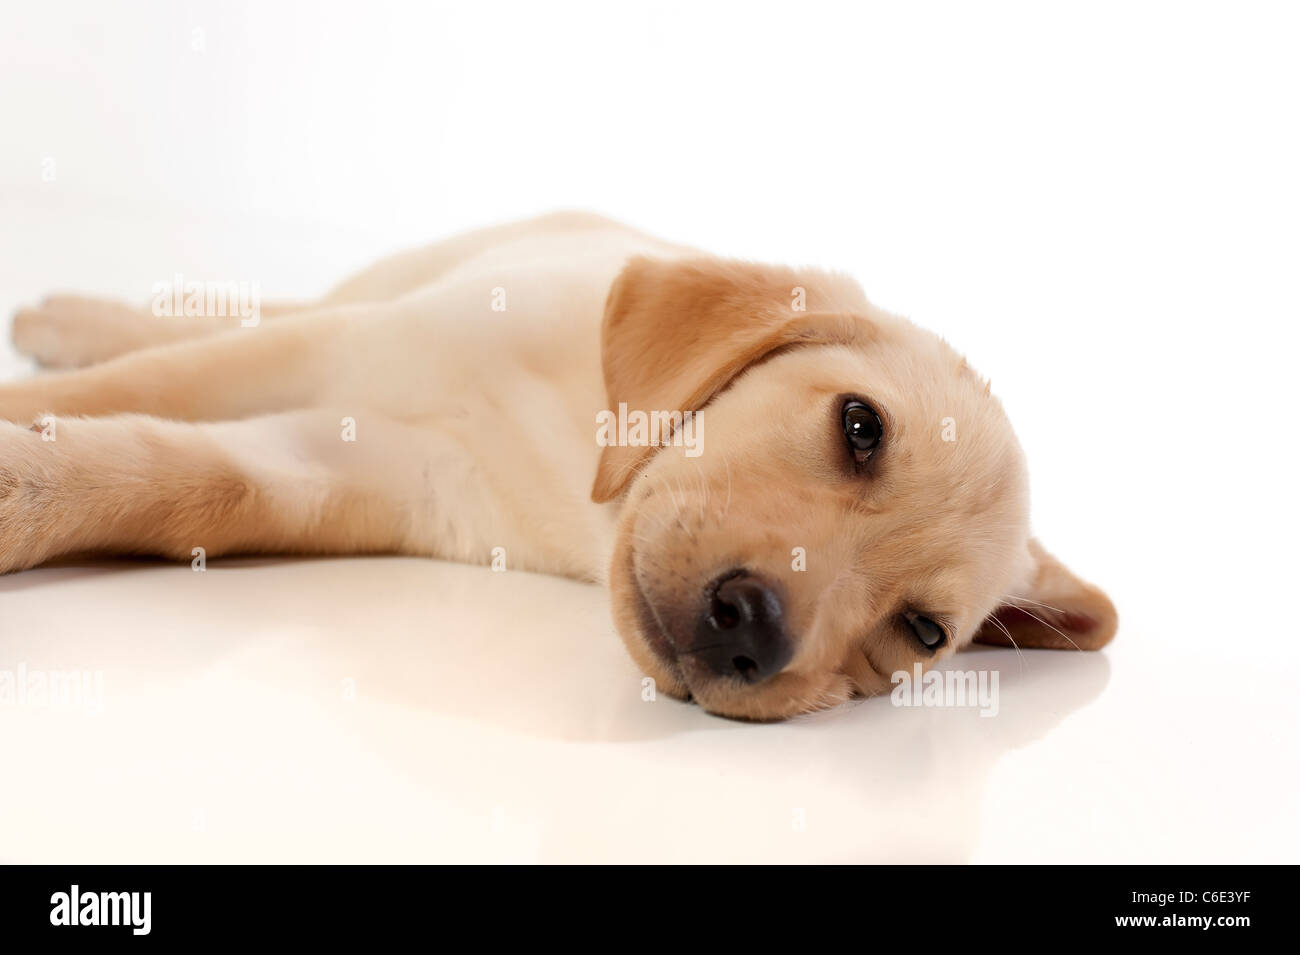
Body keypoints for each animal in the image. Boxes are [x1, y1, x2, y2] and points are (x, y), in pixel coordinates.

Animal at [2, 209, 1118, 717]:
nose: (752, 630)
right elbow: (142, 381)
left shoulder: (370, 470)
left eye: (922, 633)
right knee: (232, 318)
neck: (578, 454)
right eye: (858, 427)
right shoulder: (335, 351)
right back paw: (68, 318)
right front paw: (28, 415)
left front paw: (32, 484)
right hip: (372, 298)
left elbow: (189, 475)